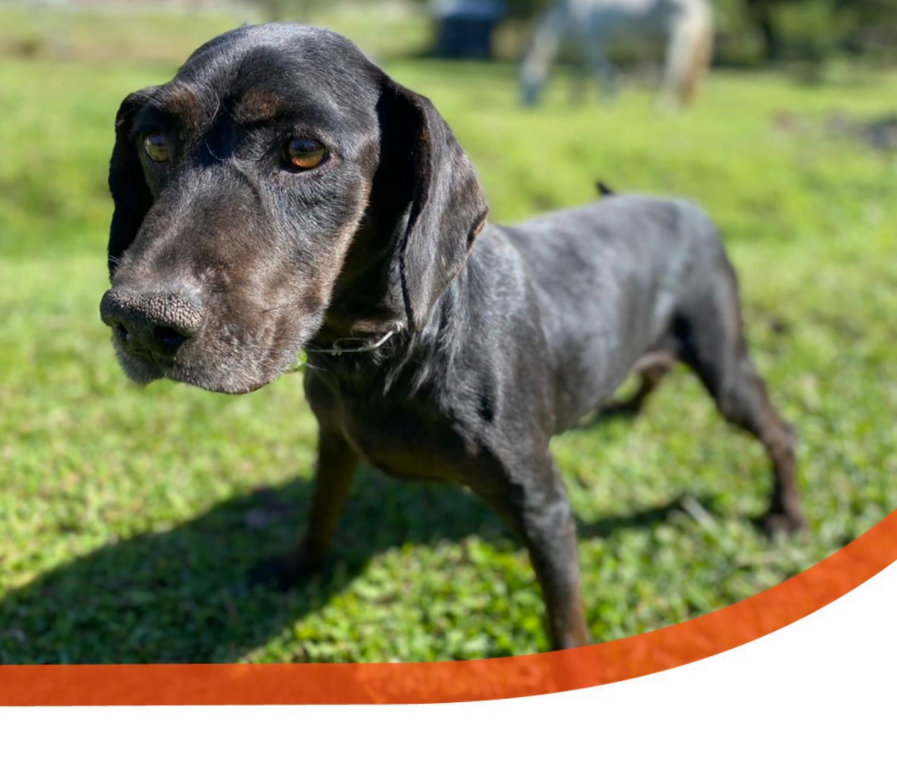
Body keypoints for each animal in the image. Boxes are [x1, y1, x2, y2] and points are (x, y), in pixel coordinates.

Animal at [99, 23, 804, 651]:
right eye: (155, 142)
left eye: (303, 151)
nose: (138, 320)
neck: (393, 351)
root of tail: (684, 205)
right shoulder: (335, 440)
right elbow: (321, 513)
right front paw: (299, 567)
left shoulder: (542, 503)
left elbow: (565, 620)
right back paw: (628, 405)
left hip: (725, 367)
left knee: (780, 432)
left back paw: (786, 513)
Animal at [520, 0, 714, 109]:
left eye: (524, 77)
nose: (522, 106)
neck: (571, 13)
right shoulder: (580, 52)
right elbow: (577, 78)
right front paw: (575, 104)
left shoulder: (595, 47)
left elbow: (603, 73)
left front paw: (608, 105)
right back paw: (681, 109)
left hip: (678, 39)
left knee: (673, 71)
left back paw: (661, 107)